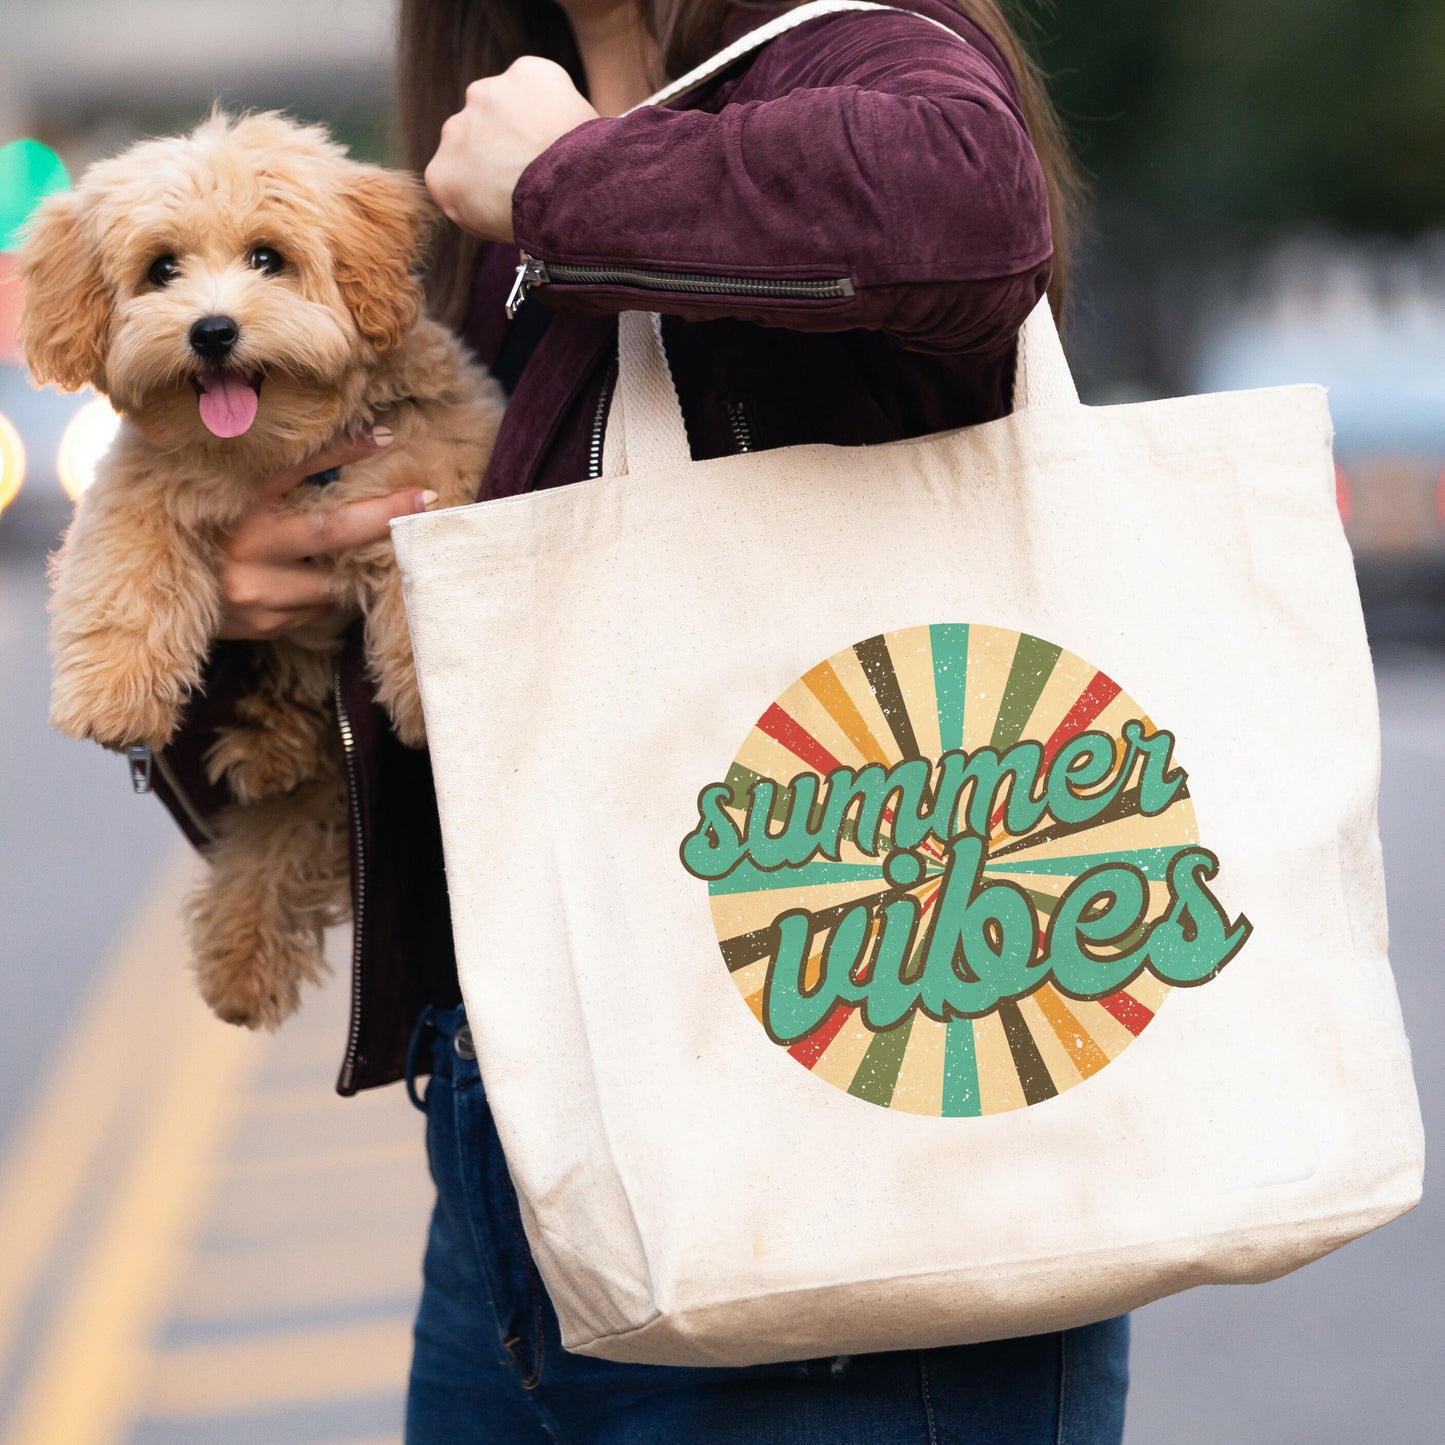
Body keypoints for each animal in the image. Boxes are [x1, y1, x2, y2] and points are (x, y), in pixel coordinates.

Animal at [21, 112, 508, 1034]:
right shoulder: (140, 486)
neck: (272, 449)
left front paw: (424, 689)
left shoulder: (435, 454)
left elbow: (420, 551)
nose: (211, 331)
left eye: (267, 257)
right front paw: (112, 693)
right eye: (161, 269)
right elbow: (123, 569)